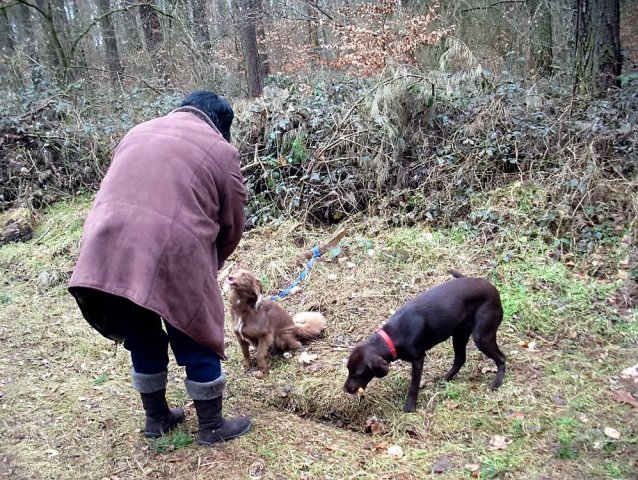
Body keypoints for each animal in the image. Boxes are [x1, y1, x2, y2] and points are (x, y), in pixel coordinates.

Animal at [348, 270, 508, 412]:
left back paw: (497, 383)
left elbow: (413, 386)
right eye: (348, 369)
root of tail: (493, 288)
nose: (346, 389)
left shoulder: (418, 359)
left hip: (482, 337)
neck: (392, 338)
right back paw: (445, 378)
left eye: (359, 373)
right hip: (459, 335)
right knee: (460, 359)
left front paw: (409, 407)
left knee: (501, 358)